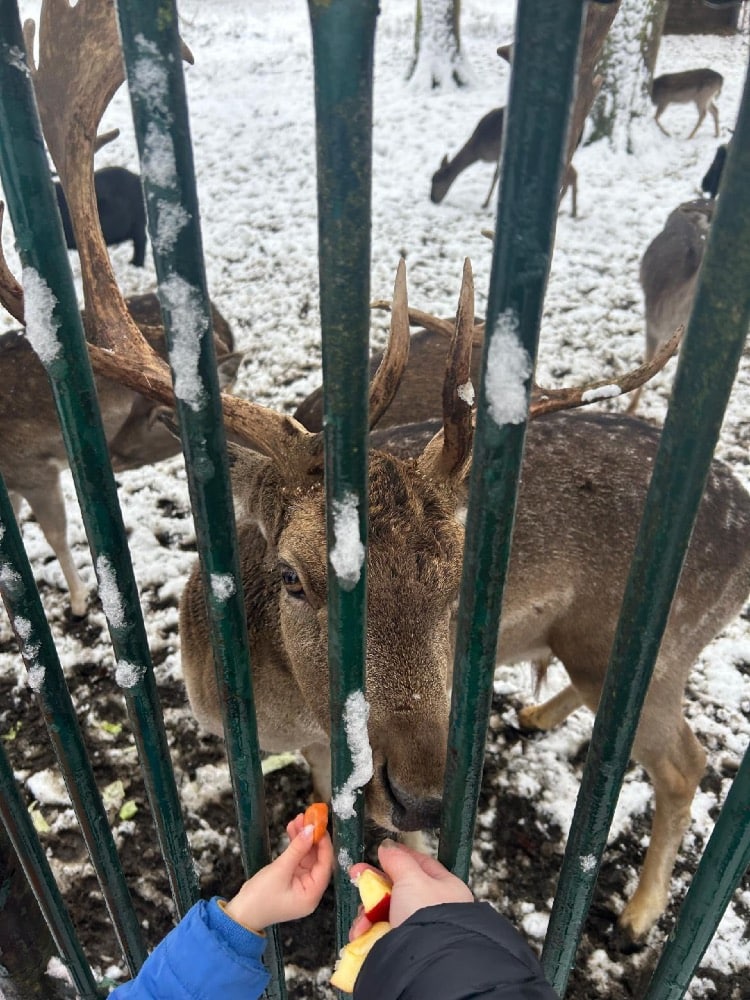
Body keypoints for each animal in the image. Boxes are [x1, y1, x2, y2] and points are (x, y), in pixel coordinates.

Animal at [430, 107, 578, 215]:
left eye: (437, 180)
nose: (432, 199)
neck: (477, 149)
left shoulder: (499, 152)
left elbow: (496, 175)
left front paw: (485, 204)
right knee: (573, 172)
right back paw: (573, 211)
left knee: (571, 174)